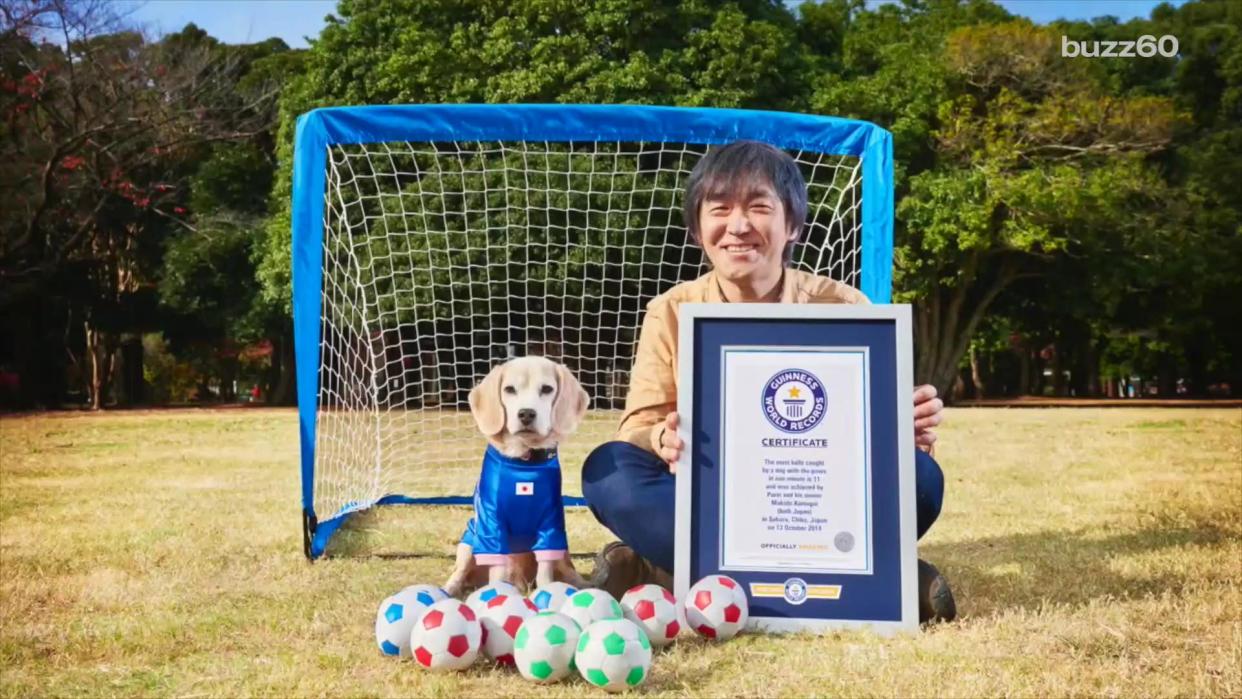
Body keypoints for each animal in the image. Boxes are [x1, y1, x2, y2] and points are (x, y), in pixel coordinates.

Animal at [442, 357, 591, 598]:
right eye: (509, 389)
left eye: (547, 389)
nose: (526, 413)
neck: (524, 462)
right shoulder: (491, 524)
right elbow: (497, 570)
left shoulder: (551, 524)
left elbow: (546, 571)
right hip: (468, 542)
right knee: (460, 573)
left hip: (563, 550)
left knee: (568, 571)